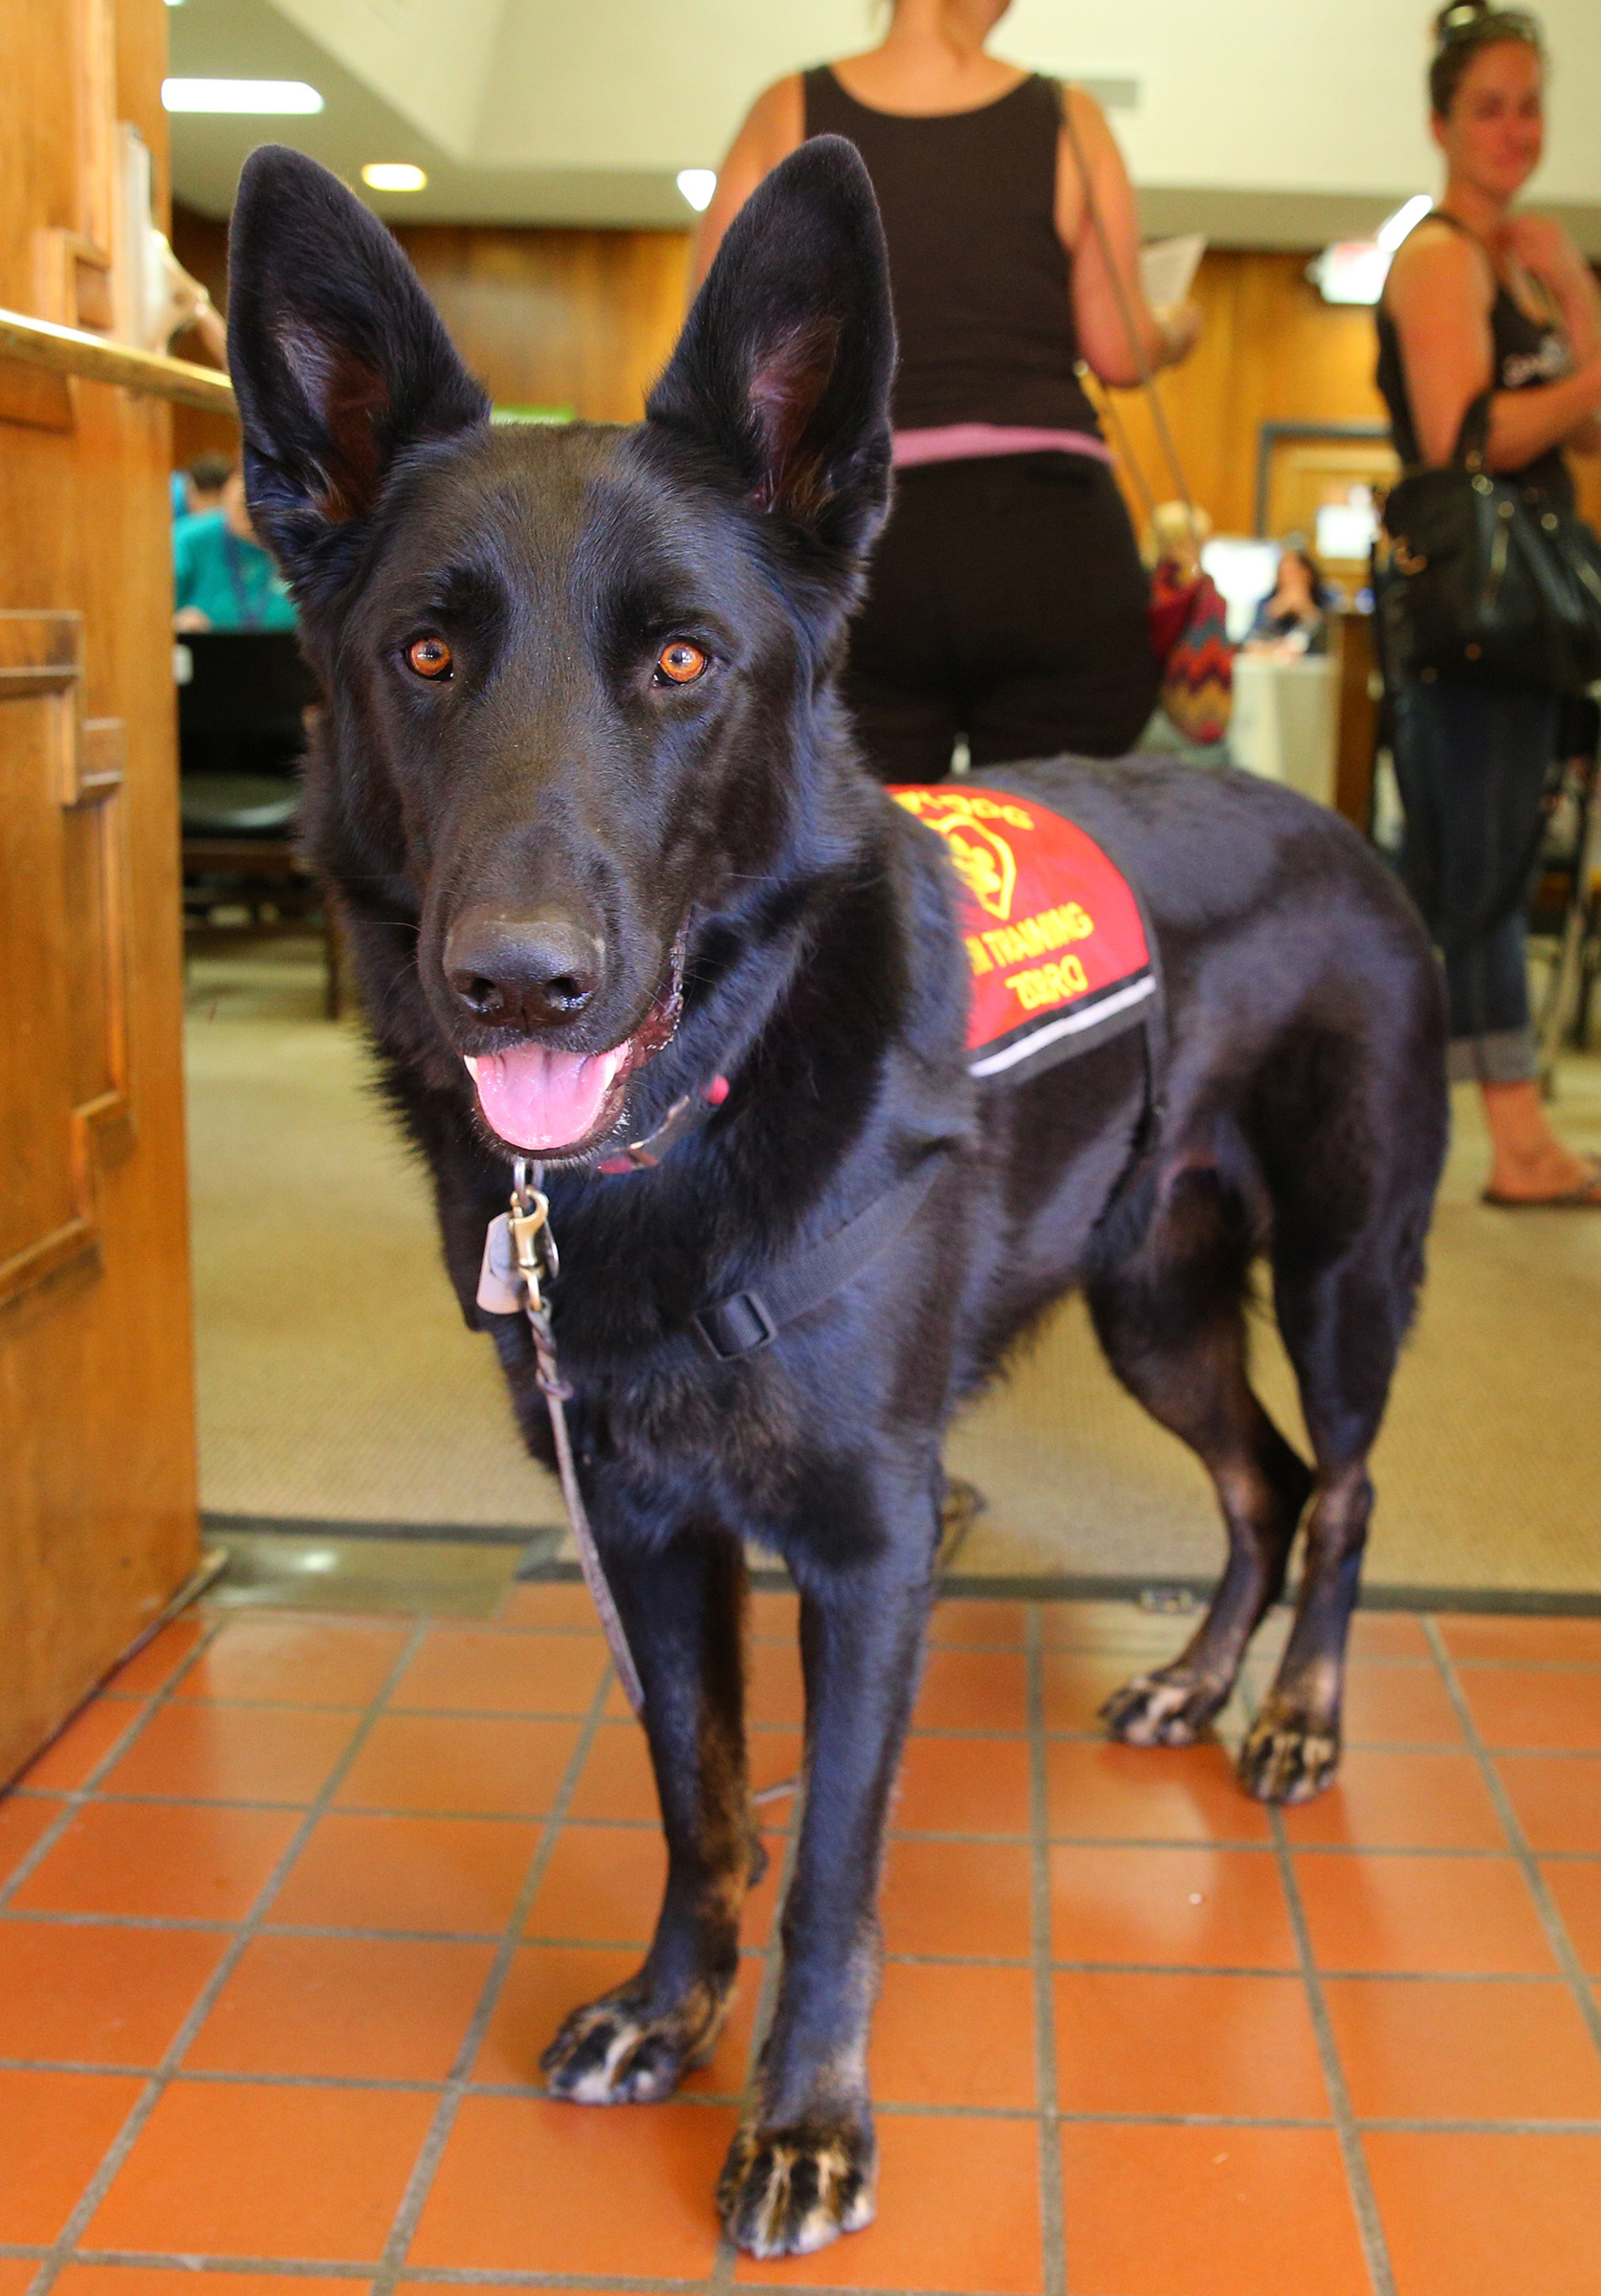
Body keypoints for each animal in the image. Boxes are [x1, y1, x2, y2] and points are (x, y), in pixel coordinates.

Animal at [227, 134, 1449, 2250]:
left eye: (682, 662)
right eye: (425, 655)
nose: (517, 985)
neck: (679, 1133)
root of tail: (1338, 829)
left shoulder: (877, 1548)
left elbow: (828, 1870)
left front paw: (803, 2115)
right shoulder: (647, 1532)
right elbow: (700, 1800)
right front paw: (669, 2007)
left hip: (1336, 1277)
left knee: (1348, 1488)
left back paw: (1294, 1712)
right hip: (1151, 1302)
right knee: (1260, 1482)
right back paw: (1191, 1680)